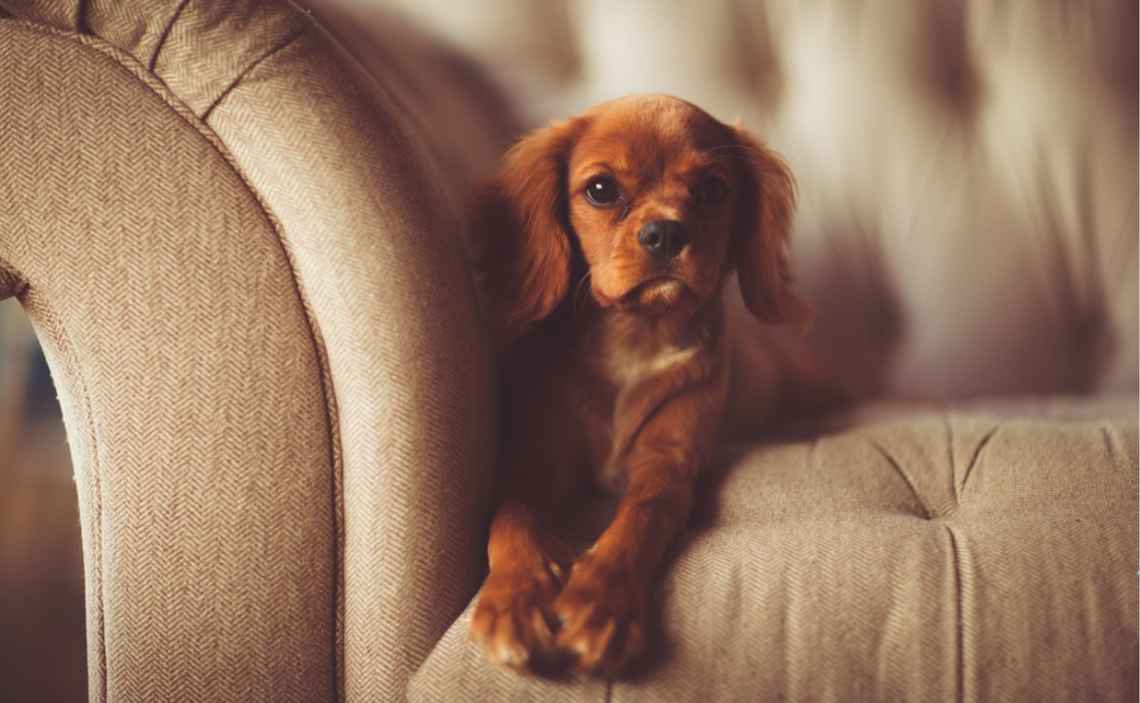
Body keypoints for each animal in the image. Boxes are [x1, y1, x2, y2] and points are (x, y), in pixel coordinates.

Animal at [467, 93, 834, 674]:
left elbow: (640, 518)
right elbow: (510, 518)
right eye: (601, 189)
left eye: (713, 189)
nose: (665, 232)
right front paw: (513, 598)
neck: (637, 336)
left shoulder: (668, 463)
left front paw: (599, 601)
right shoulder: (531, 463)